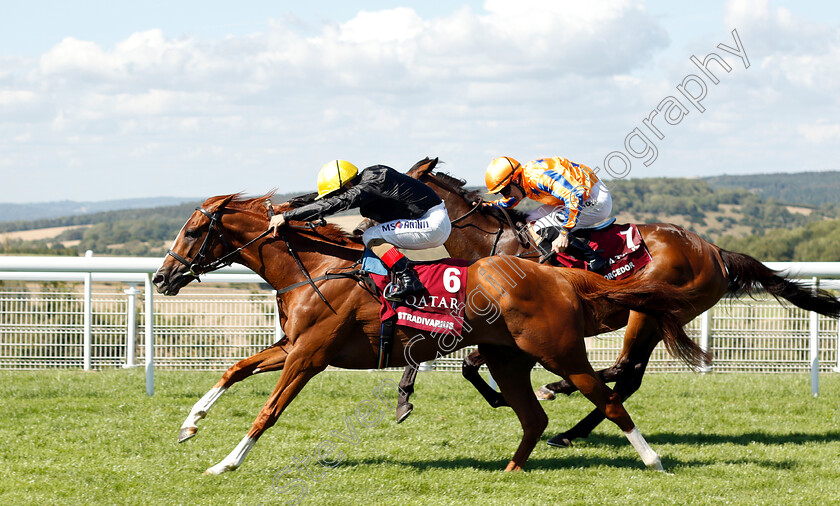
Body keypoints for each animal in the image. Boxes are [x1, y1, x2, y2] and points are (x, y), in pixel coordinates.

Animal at [153, 192, 704, 472]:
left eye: (193, 231)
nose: (161, 278)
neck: (316, 267)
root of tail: (558, 275)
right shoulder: (292, 345)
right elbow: (235, 369)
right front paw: (190, 424)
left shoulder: (308, 355)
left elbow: (268, 411)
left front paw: (225, 463)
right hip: (508, 358)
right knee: (534, 418)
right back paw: (511, 470)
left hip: (561, 352)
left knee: (608, 399)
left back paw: (653, 460)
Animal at [398, 156, 840, 444]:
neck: (495, 245)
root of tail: (714, 250)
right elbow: (449, 358)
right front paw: (407, 398)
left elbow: (467, 362)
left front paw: (504, 397)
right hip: (656, 318)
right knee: (630, 377)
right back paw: (569, 425)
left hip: (647, 313)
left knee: (624, 370)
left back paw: (559, 394)